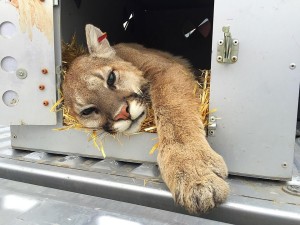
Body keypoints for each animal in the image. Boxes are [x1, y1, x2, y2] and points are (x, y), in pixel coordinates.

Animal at [62, 24, 229, 214]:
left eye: (111, 78)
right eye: (88, 111)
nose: (123, 114)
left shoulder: (165, 69)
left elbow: (171, 109)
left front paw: (192, 171)